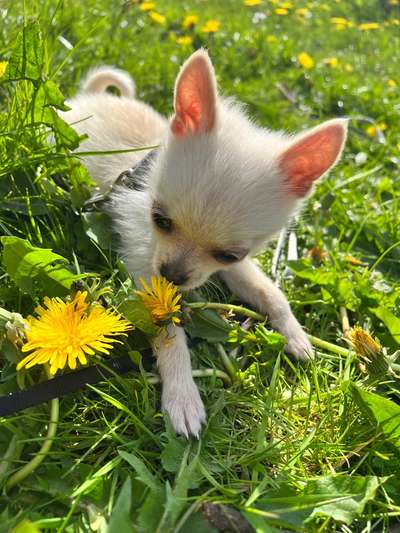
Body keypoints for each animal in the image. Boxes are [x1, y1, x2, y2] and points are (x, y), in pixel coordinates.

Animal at [61, 50, 346, 436]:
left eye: (229, 254)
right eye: (159, 219)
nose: (172, 274)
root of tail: (91, 97)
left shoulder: (233, 267)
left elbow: (269, 291)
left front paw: (295, 334)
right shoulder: (147, 270)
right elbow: (168, 333)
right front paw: (182, 395)